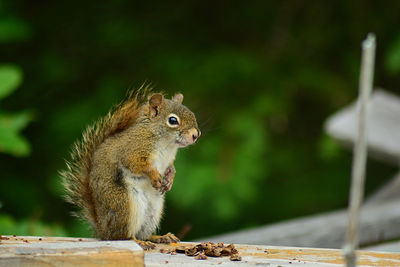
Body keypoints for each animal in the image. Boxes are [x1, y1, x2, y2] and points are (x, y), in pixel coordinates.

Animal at [59, 87, 202, 250]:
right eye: (173, 120)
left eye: (192, 115)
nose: (196, 135)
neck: (167, 144)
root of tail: (103, 230)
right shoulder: (132, 151)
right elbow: (138, 165)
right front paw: (155, 176)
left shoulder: (169, 160)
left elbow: (171, 168)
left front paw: (170, 179)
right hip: (125, 205)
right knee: (123, 236)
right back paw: (139, 241)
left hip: (153, 212)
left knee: (142, 233)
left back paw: (159, 237)